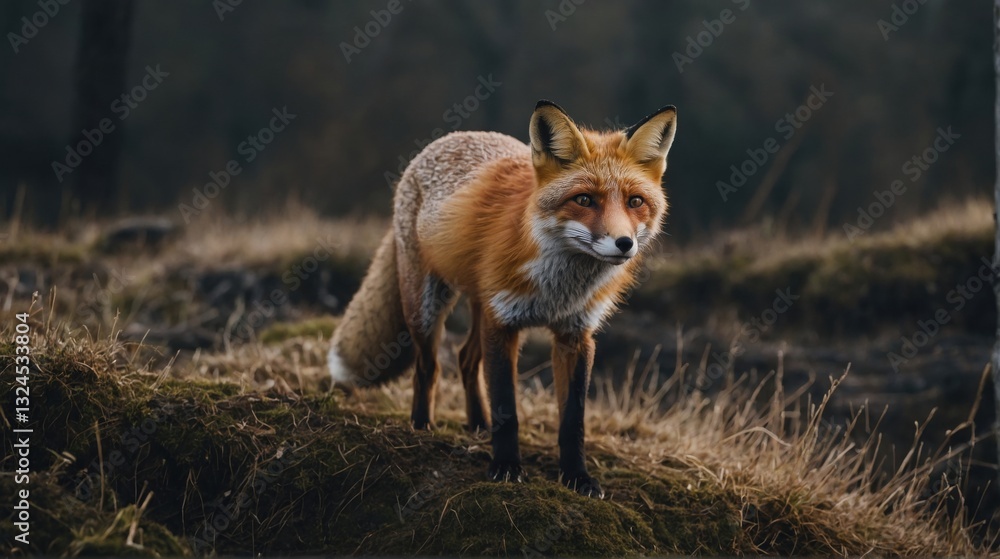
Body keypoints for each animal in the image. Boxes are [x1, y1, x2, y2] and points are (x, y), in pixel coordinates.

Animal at [328, 100, 677, 498]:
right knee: (427, 369)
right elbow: (506, 407)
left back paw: (478, 425)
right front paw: (506, 466)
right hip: (428, 307)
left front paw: (577, 477)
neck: (557, 289)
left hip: (482, 308)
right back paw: (422, 427)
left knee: (465, 359)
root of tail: (446, 140)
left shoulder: (576, 334)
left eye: (635, 202)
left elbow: (573, 421)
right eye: (584, 199)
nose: (624, 244)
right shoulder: (504, 325)